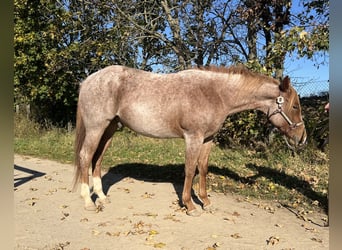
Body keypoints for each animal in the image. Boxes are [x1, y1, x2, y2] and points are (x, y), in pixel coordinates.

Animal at [73, 65, 308, 216]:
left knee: (97, 159)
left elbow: (202, 168)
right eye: (295, 106)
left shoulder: (208, 139)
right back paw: (87, 201)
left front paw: (206, 201)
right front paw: (189, 205)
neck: (215, 94)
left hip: (110, 129)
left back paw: (101, 196)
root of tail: (88, 80)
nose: (302, 138)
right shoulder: (193, 137)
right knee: (85, 156)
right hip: (96, 127)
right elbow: (189, 169)